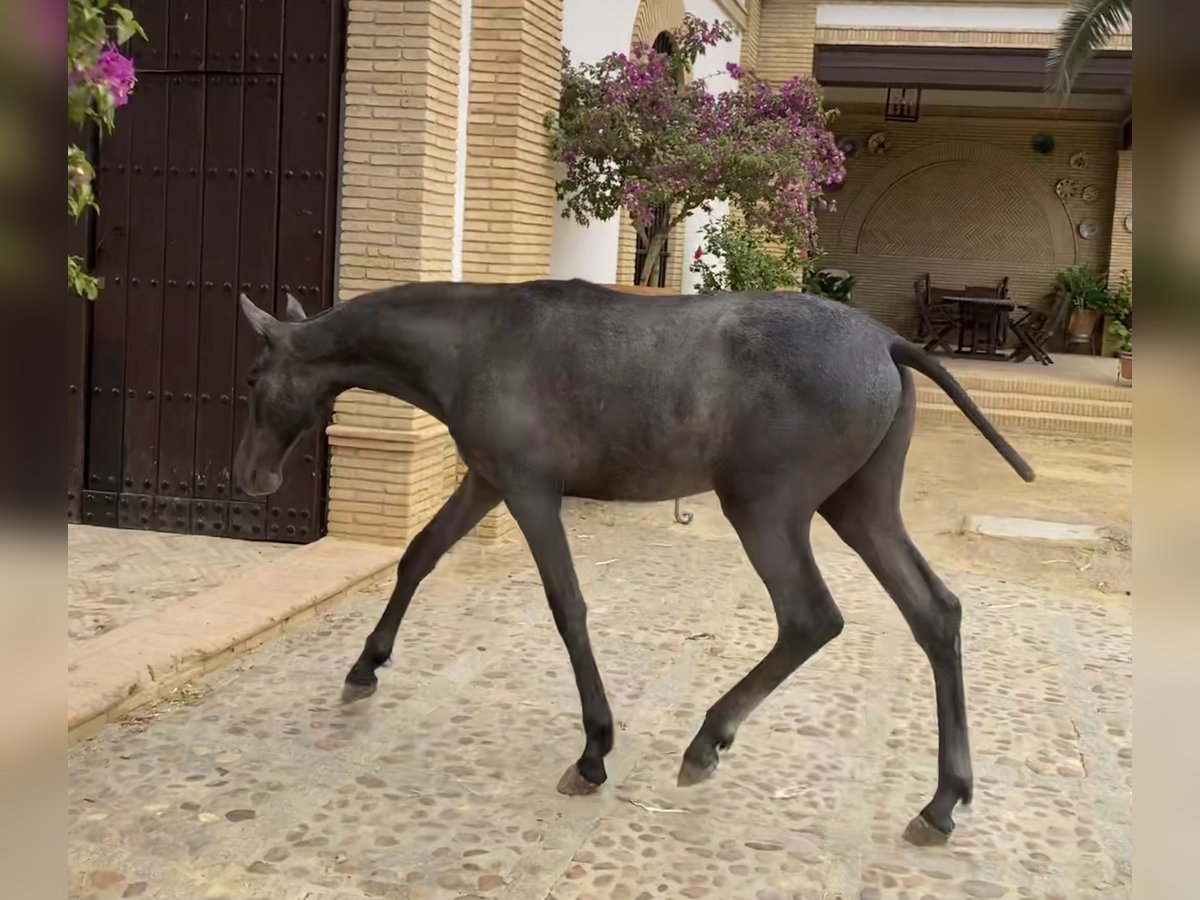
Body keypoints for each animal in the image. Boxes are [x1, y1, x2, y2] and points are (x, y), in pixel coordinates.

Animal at [234, 280, 1032, 844]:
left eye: (254, 376)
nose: (250, 477)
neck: (476, 344)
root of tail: (890, 343)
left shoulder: (528, 491)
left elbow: (567, 607)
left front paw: (594, 749)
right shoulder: (487, 482)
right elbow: (418, 556)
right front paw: (365, 667)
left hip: (766, 509)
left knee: (811, 619)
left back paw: (707, 743)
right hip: (860, 506)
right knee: (935, 613)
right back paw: (942, 801)